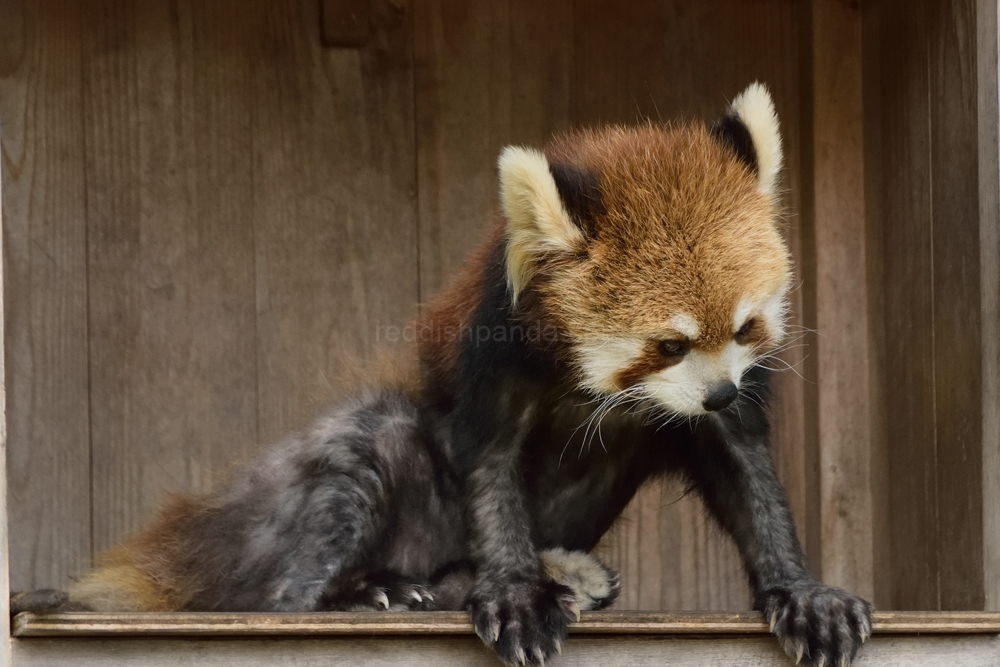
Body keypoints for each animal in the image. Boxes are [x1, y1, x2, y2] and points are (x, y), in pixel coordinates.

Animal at [17, 83, 876, 667]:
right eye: (667, 344)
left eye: (745, 328)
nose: (720, 390)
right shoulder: (490, 355)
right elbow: (490, 470)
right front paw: (516, 592)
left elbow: (745, 472)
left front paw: (801, 590)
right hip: (334, 488)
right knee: (307, 552)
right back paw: (371, 593)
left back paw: (545, 572)